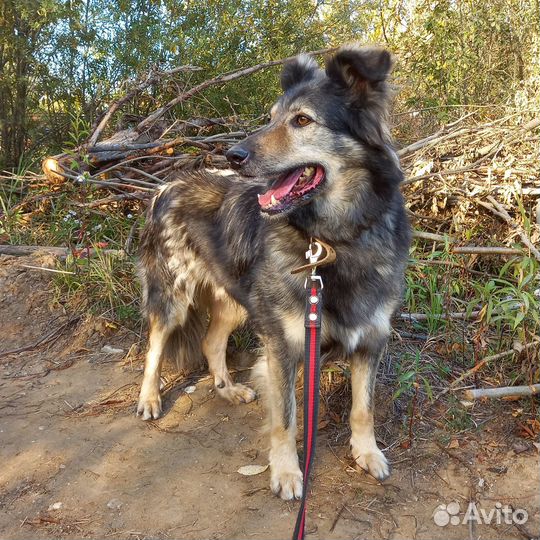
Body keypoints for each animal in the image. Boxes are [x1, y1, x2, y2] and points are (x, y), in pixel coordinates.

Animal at [137, 44, 412, 500]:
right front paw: (286, 472)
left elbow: (363, 409)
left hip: (236, 300)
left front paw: (367, 452)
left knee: (211, 341)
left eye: (301, 120)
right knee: (155, 344)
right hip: (174, 295)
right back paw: (149, 398)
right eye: (270, 117)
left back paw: (228, 389)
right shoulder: (284, 344)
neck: (334, 242)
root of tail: (165, 186)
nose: (232, 155)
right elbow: (286, 417)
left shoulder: (371, 338)